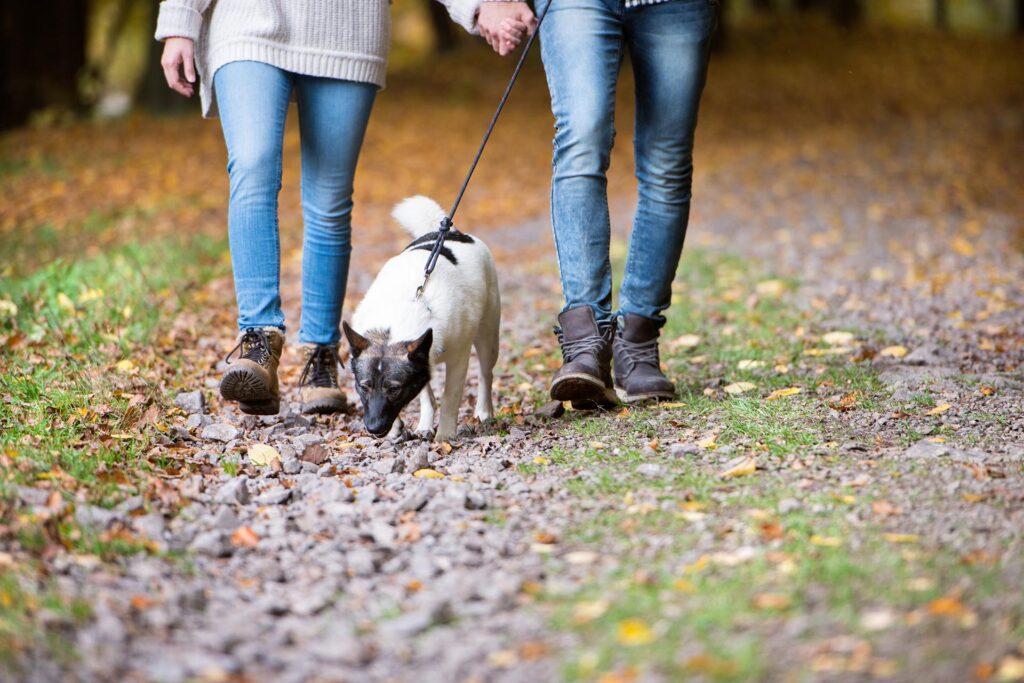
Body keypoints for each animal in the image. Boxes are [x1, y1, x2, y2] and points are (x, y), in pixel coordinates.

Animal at [344, 197, 499, 444]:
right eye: (363, 387)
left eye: (394, 389)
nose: (373, 429)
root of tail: (454, 232)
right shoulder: (422, 357)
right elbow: (426, 394)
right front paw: (400, 429)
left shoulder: (459, 360)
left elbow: (450, 399)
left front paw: (444, 435)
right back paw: (425, 425)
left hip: (487, 336)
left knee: (486, 373)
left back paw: (484, 411)